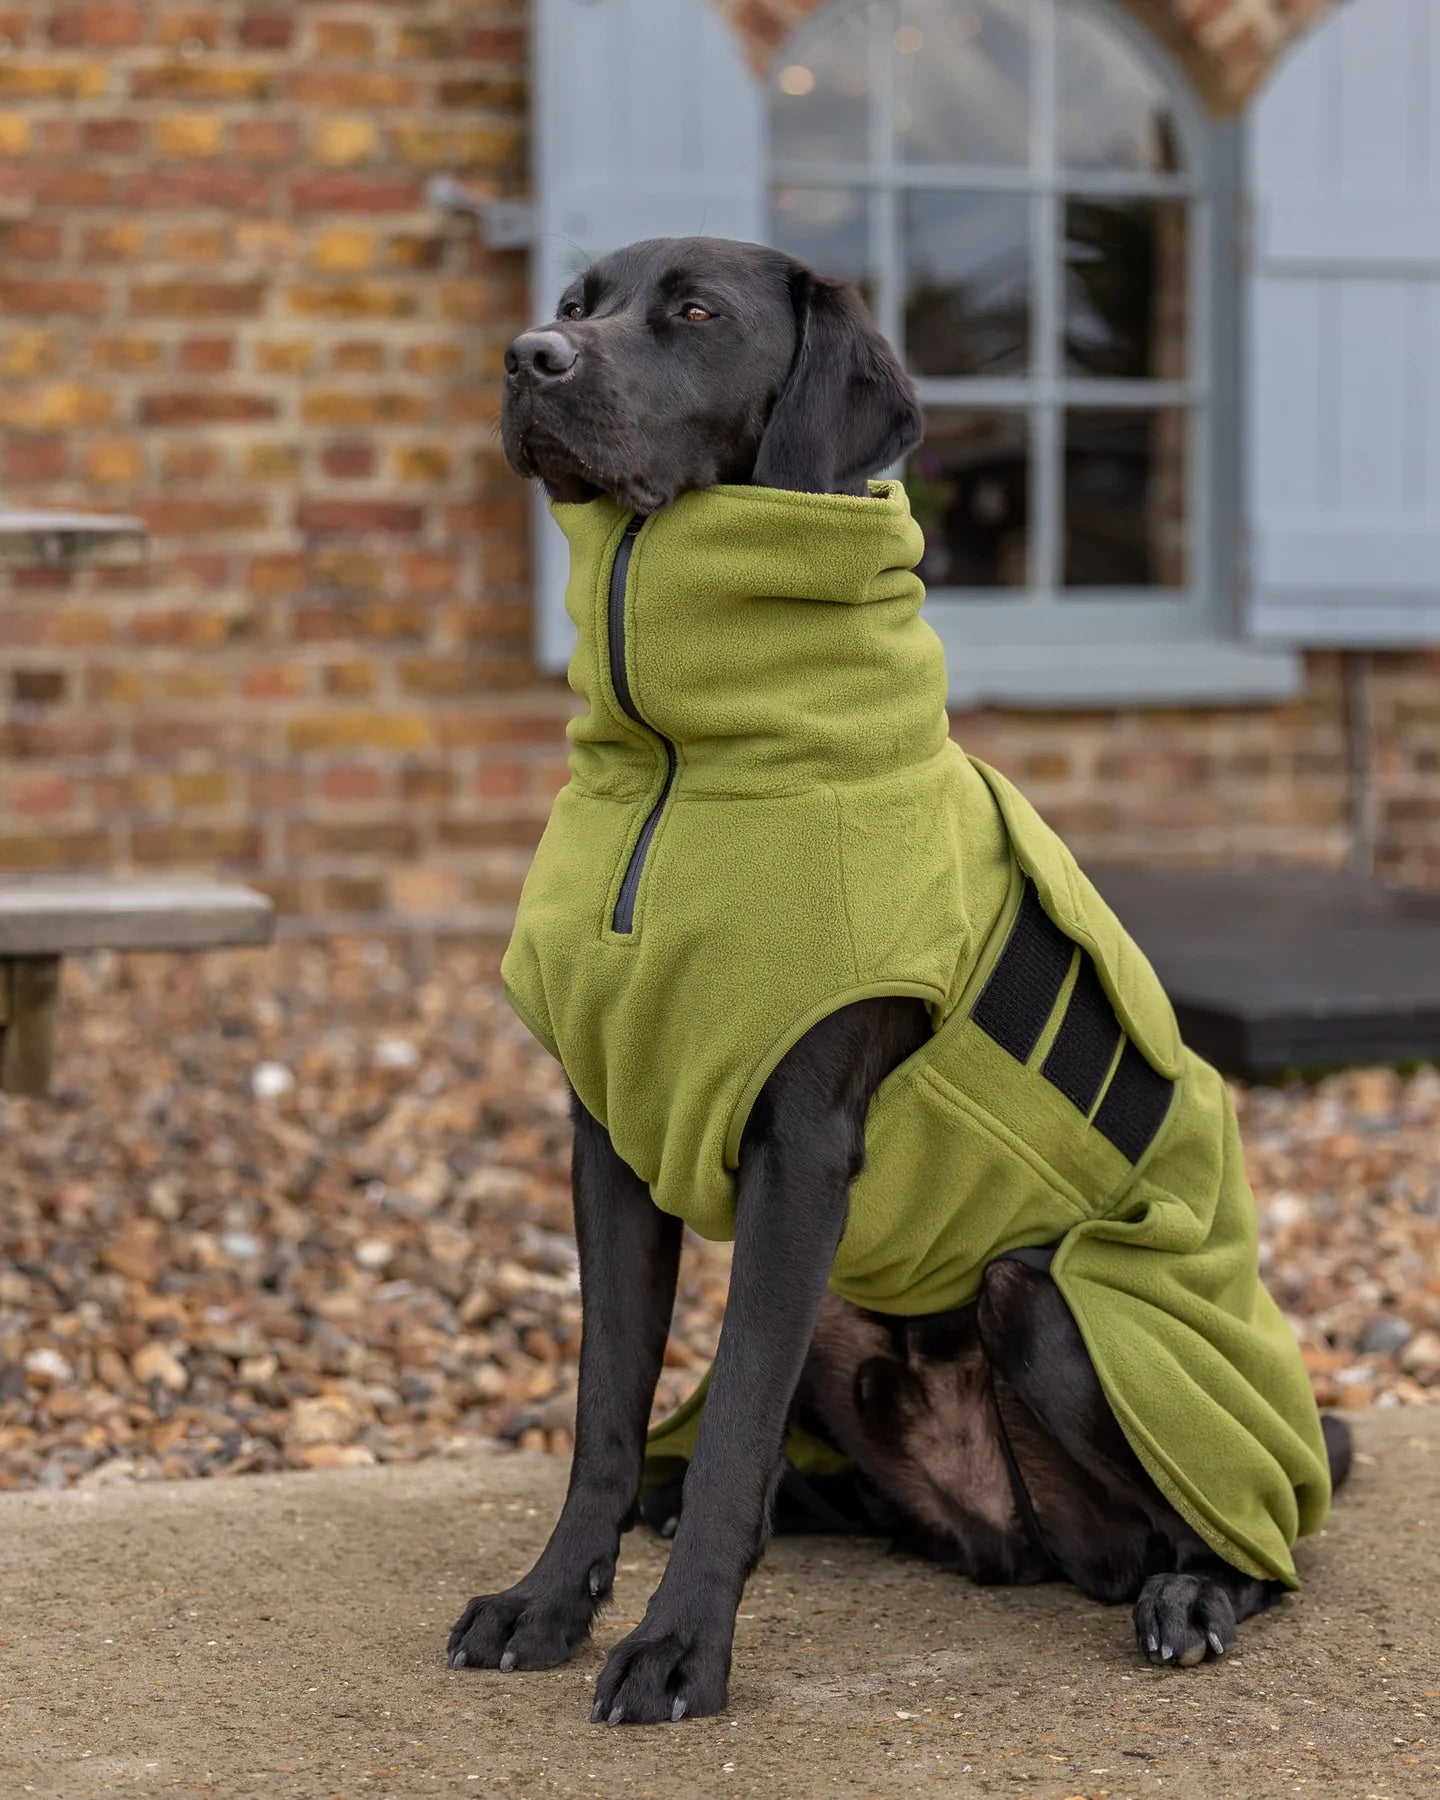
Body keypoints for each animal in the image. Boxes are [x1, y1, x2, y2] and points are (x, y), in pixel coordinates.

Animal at [446, 232, 1353, 1720]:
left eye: (695, 312)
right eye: (577, 302)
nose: (530, 355)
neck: (687, 765)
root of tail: (1010, 1540)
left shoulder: (804, 1150)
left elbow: (732, 1416)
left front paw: (677, 1650)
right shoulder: (608, 1140)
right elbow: (605, 1405)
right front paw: (550, 1601)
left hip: (1052, 1306)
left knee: (1254, 1534)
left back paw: (1191, 1595)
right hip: (848, 1312)